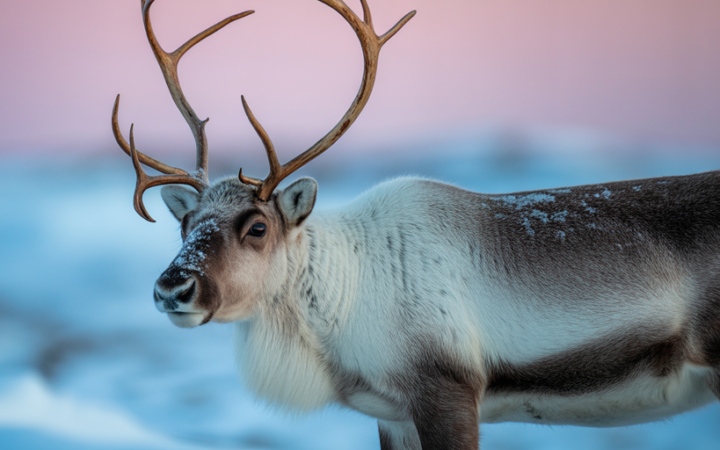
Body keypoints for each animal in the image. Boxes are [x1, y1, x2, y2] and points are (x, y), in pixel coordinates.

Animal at [112, 1, 720, 449]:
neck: (346, 295)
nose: (173, 287)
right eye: (185, 222)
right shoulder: (393, 414)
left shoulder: (448, 393)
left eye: (257, 226)